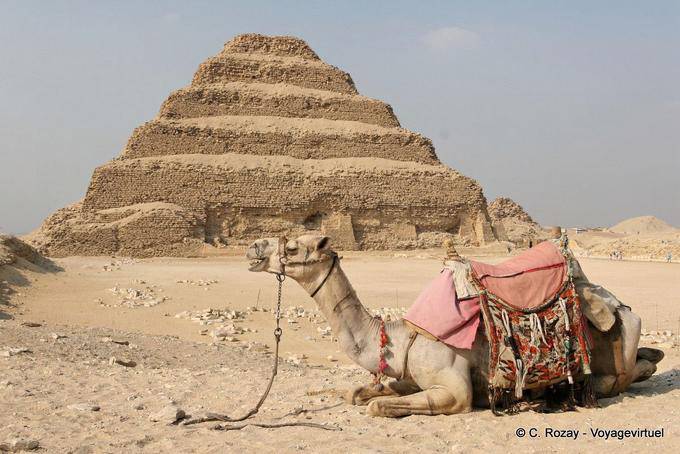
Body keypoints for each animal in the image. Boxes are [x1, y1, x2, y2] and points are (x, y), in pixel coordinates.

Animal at [246, 234, 663, 417]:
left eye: (294, 247)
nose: (254, 248)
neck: (400, 337)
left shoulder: (453, 387)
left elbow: (379, 406)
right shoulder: (410, 375)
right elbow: (361, 394)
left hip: (619, 341)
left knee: (619, 377)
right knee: (645, 361)